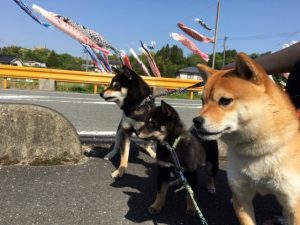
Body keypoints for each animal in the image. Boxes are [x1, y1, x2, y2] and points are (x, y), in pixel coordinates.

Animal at [192, 51, 300, 224]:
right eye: (202, 101)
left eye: (225, 101)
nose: (196, 121)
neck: (257, 151)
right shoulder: (242, 196)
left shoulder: (293, 201)